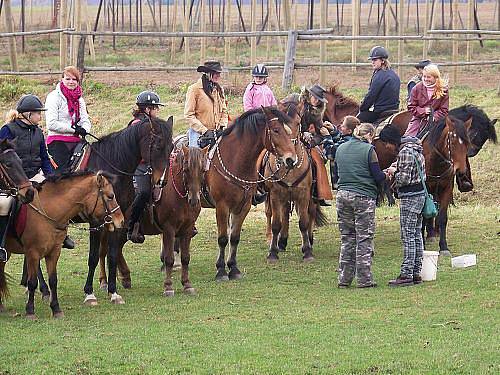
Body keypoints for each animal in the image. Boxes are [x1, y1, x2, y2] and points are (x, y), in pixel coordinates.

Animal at [0, 172, 124, 318]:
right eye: (110, 196)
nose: (121, 220)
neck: (46, 212)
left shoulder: (54, 252)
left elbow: (53, 280)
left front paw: (56, 308)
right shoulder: (33, 253)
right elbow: (32, 282)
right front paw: (30, 310)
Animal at [206, 107, 296, 280]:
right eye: (276, 130)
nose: (291, 160)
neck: (235, 161)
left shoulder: (243, 206)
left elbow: (234, 237)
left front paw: (233, 268)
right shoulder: (222, 207)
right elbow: (222, 238)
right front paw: (221, 271)